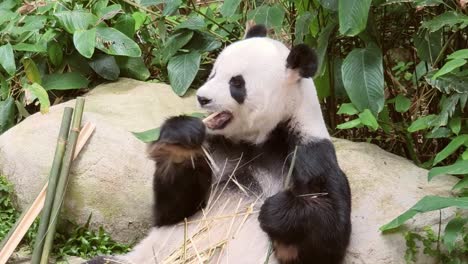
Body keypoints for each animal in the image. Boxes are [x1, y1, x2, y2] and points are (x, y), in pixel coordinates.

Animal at [88, 23, 352, 262]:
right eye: (213, 72)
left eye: (236, 83)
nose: (202, 98)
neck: (258, 139)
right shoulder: (217, 146)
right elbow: (174, 211)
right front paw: (180, 141)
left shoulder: (308, 152)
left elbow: (331, 234)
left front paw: (279, 210)